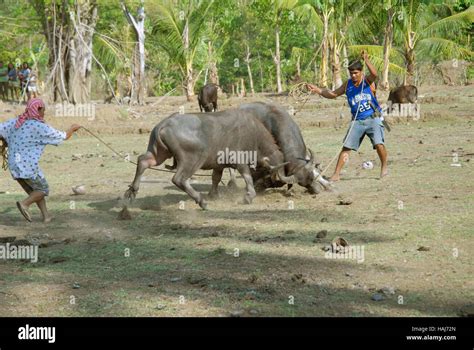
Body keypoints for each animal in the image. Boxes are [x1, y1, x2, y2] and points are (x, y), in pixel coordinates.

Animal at [122, 108, 294, 208]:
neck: (254, 135)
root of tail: (163, 124)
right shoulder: (239, 160)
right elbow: (246, 176)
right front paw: (249, 196)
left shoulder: (218, 165)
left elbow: (215, 178)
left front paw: (213, 194)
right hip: (193, 159)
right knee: (179, 179)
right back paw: (201, 201)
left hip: (159, 153)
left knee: (143, 161)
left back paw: (132, 191)